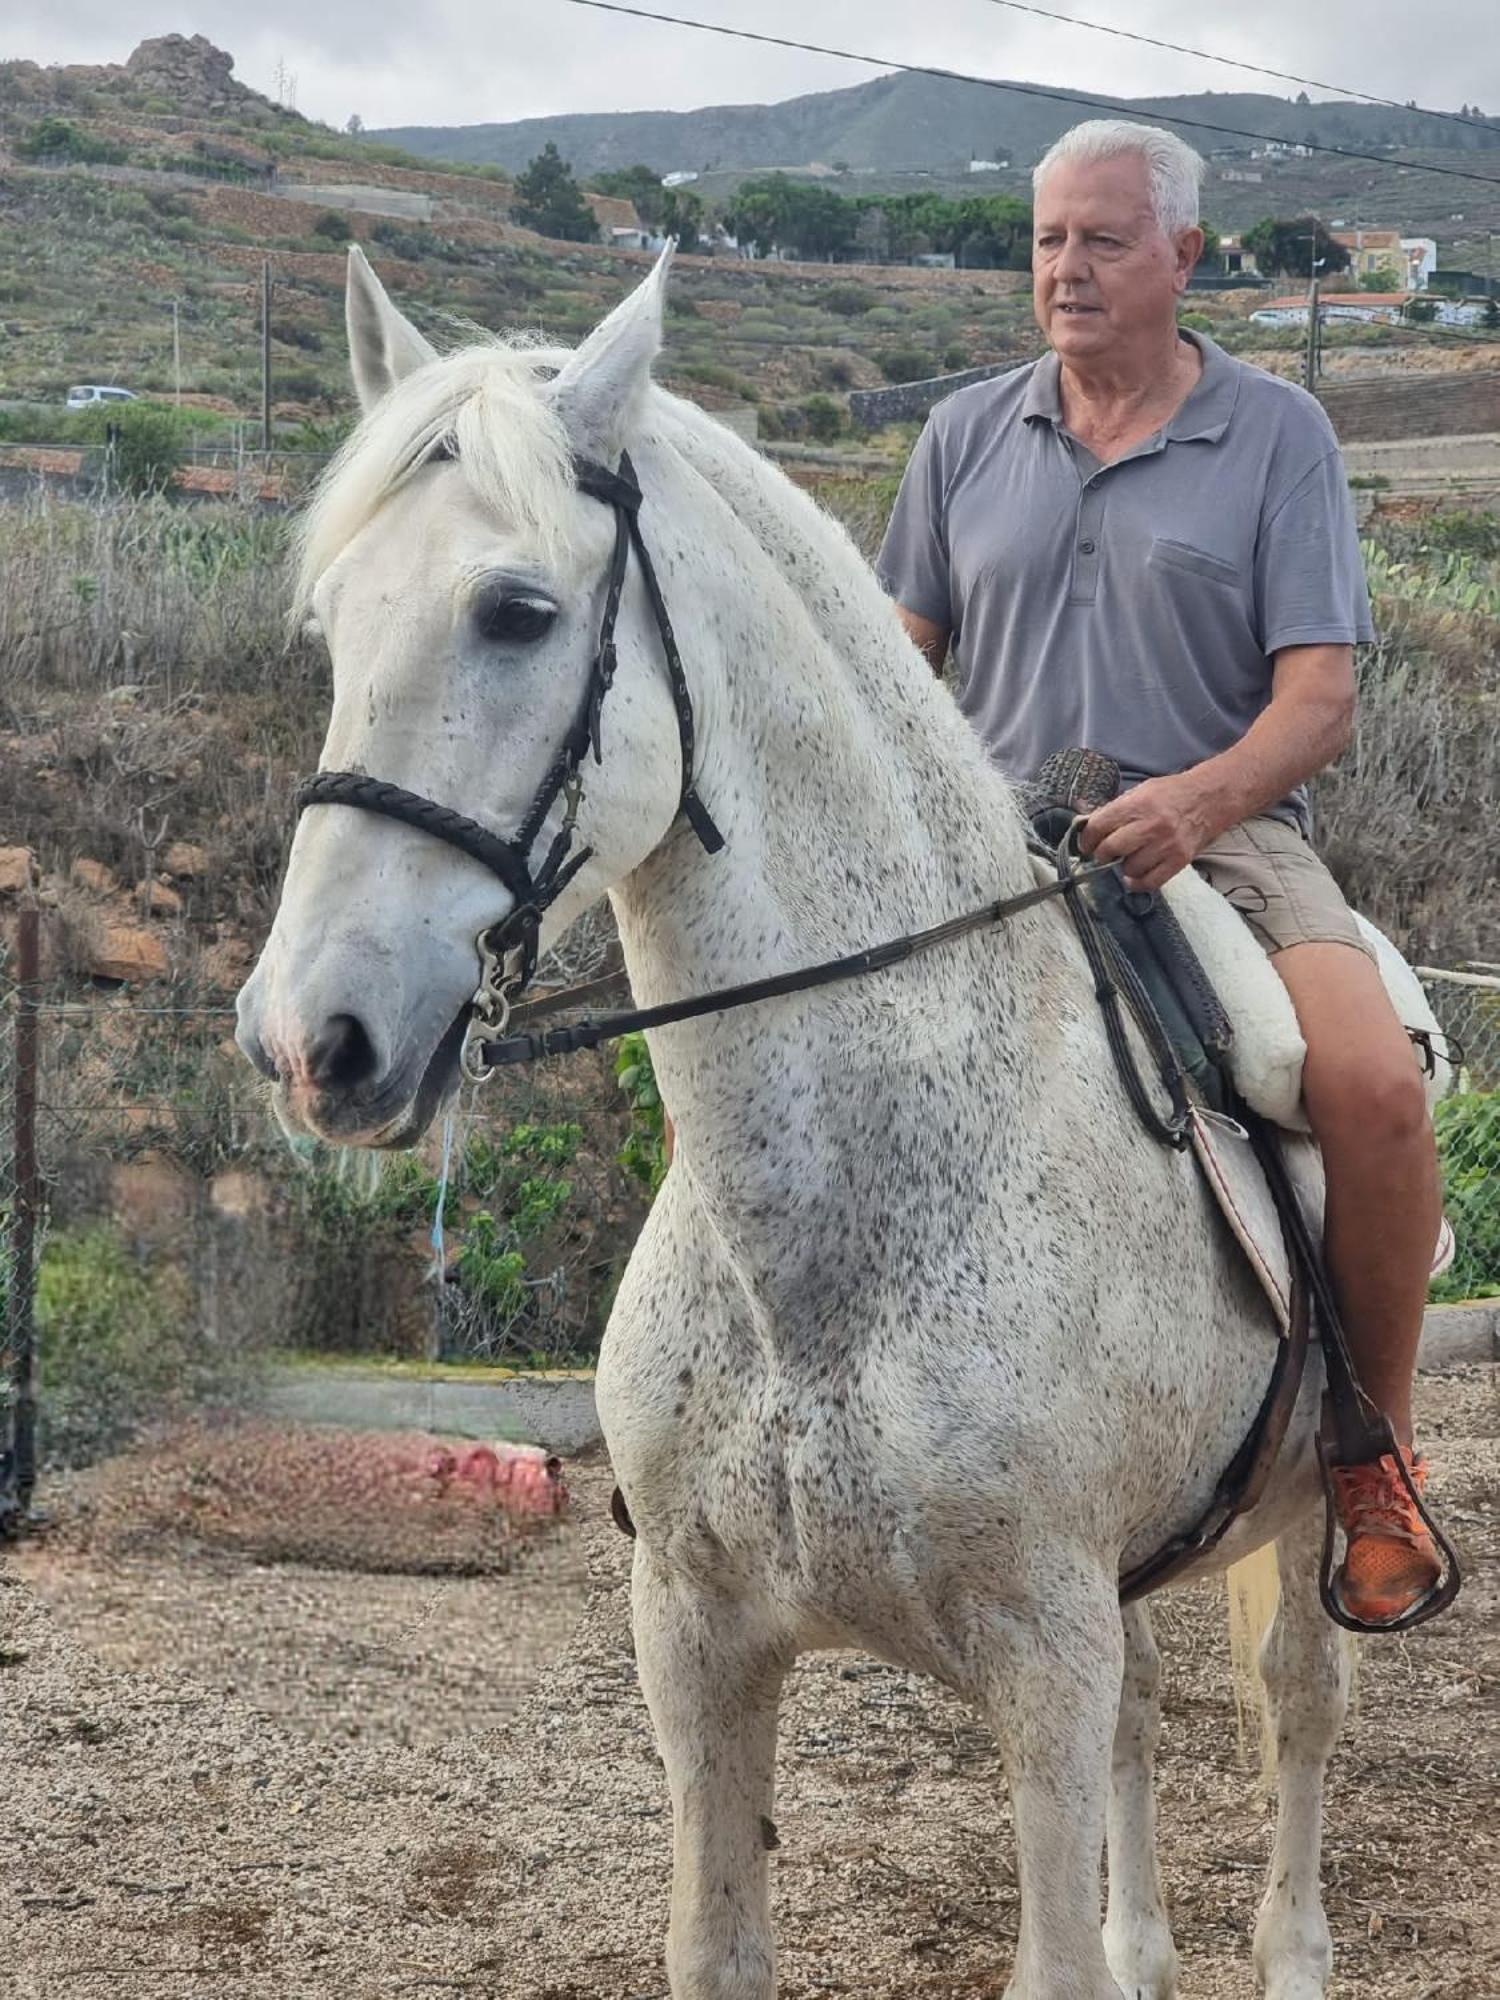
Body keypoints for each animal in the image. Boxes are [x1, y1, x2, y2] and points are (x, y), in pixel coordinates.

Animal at [238, 245, 1377, 1998]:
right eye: (332, 620)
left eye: (517, 612)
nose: (311, 1043)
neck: (822, 1257)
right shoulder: (700, 1645)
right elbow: (722, 1942)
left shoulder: (1039, 1666)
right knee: (1154, 1715)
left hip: (1317, 1503)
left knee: (1302, 1709)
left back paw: (1292, 1946)